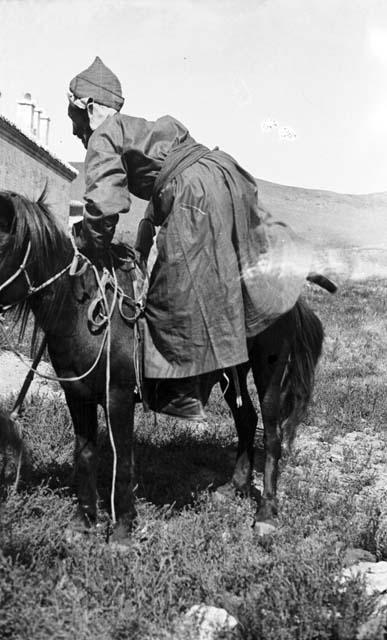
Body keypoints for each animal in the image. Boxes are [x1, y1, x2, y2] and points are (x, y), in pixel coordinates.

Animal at [0, 190, 326, 540]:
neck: (79, 313)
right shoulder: (77, 394)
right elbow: (84, 454)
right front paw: (84, 521)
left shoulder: (118, 396)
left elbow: (123, 460)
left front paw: (122, 530)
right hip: (233, 373)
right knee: (247, 420)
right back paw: (233, 487)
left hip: (270, 372)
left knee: (273, 434)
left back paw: (266, 512)